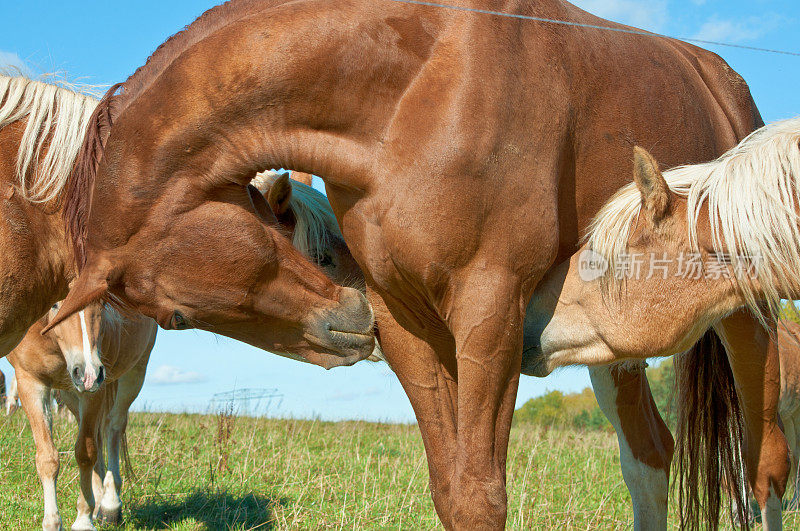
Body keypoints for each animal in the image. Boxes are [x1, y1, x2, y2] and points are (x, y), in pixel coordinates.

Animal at [7, 304, 155, 531]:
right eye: (54, 305)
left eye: (101, 304)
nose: (88, 374)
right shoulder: (30, 382)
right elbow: (47, 458)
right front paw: (52, 522)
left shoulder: (94, 390)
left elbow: (85, 455)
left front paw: (83, 520)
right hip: (70, 393)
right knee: (98, 436)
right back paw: (99, 502)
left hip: (135, 370)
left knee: (113, 427)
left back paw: (110, 505)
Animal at [45, 2, 788, 528]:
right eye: (175, 317)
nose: (345, 323)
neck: (413, 88)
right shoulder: (407, 322)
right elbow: (450, 490)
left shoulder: (491, 312)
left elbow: (482, 496)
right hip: (615, 344)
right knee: (650, 458)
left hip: (746, 321)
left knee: (765, 467)